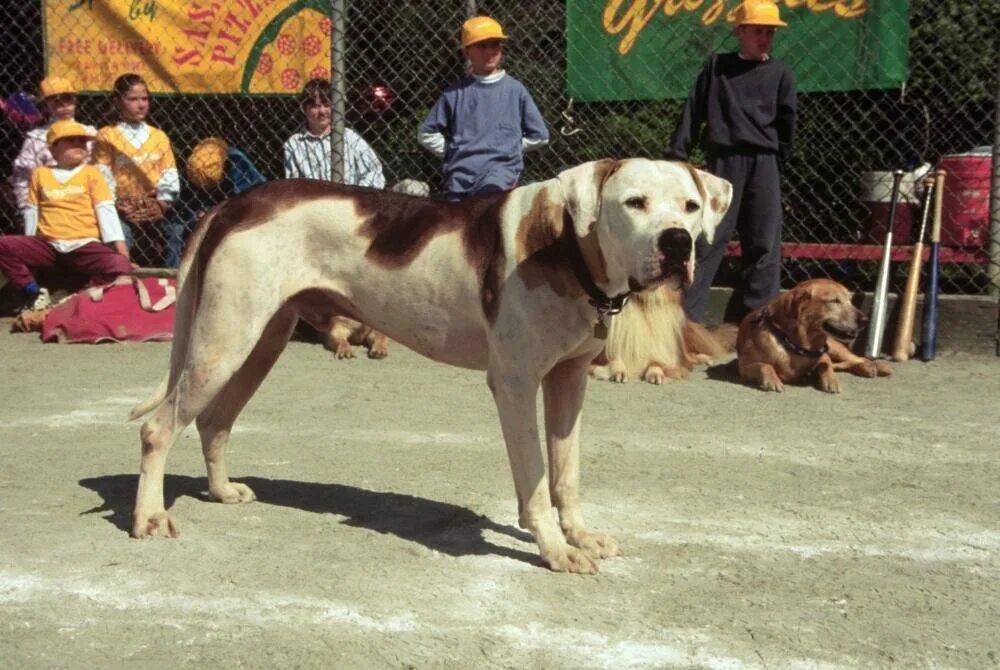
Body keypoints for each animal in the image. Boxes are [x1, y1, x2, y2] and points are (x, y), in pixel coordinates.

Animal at [588, 286, 732, 386]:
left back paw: (704, 359)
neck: (643, 303)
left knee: (689, 354)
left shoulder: (660, 349)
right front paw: (619, 372)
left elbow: (656, 361)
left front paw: (656, 374)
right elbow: (614, 359)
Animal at [736, 278, 892, 394]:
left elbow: (825, 365)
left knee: (856, 359)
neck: (793, 344)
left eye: (850, 301)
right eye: (834, 301)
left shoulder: (823, 354)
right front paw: (772, 381)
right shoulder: (743, 366)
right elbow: (764, 365)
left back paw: (873, 366)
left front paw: (831, 381)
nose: (865, 320)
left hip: (834, 348)